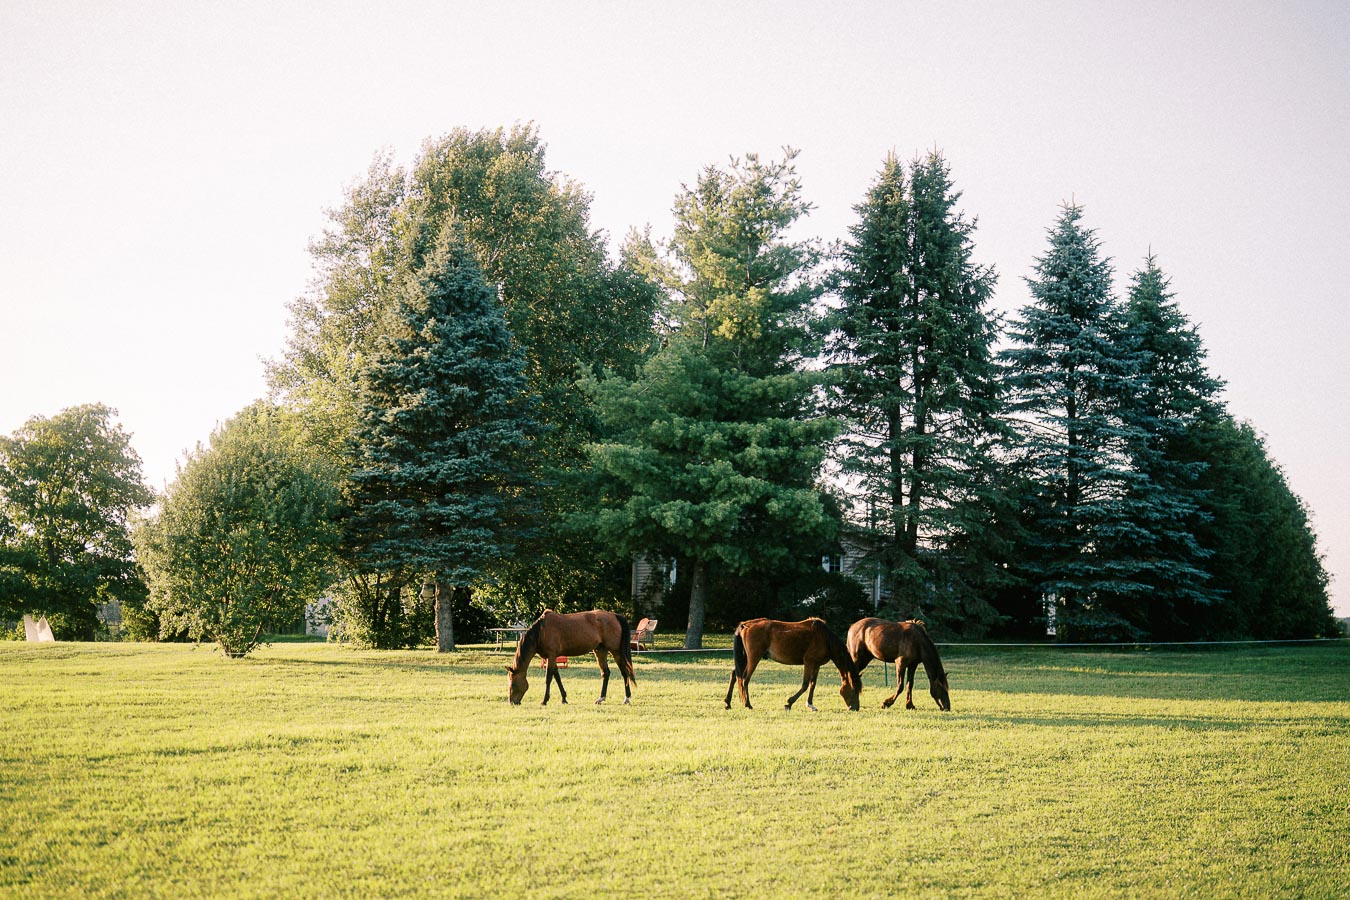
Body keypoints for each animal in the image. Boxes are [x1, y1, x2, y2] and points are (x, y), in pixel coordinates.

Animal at [506, 609, 636, 706]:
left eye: (513, 684)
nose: (512, 702)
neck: (541, 631)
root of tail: (615, 616)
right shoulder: (551, 658)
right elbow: (557, 677)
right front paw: (564, 698)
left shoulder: (551, 656)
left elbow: (549, 678)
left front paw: (544, 700)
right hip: (600, 650)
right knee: (606, 673)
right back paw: (600, 698)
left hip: (616, 651)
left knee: (625, 672)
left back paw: (627, 699)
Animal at [724, 618, 862, 711]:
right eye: (854, 690)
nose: (855, 708)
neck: (825, 638)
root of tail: (747, 624)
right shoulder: (809, 662)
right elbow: (805, 684)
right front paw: (789, 703)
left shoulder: (816, 664)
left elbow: (812, 684)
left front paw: (810, 704)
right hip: (753, 658)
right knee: (745, 679)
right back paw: (747, 704)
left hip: (745, 658)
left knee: (735, 675)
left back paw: (728, 703)